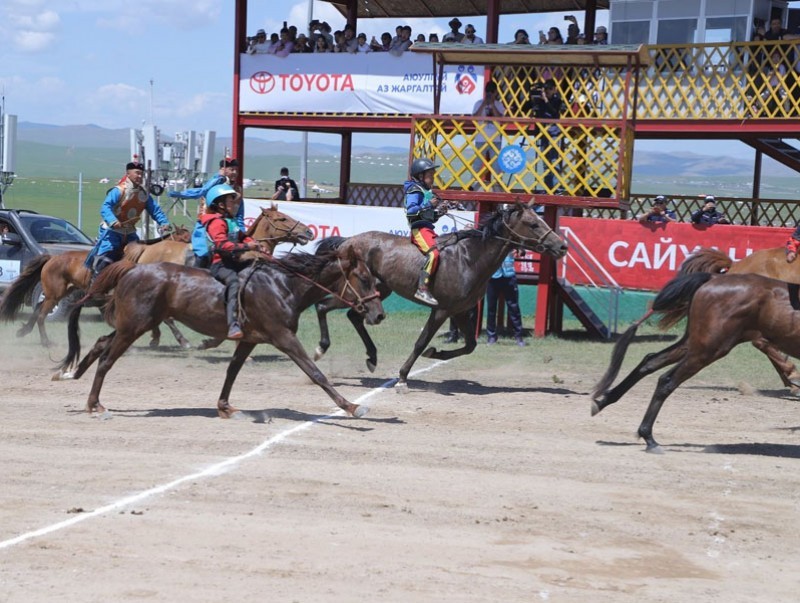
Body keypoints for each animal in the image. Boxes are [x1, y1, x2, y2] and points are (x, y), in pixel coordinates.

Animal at [53, 245, 384, 420]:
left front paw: (226, 407)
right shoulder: (284, 338)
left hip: (131, 325)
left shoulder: (249, 340)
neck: (283, 285)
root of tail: (132, 268)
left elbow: (232, 372)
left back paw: (74, 376)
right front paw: (352, 407)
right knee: (107, 360)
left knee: (100, 343)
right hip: (133, 327)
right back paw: (96, 404)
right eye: (364, 278)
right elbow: (316, 374)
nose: (379, 314)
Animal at [312, 203, 568, 390]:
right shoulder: (441, 310)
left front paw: (436, 353)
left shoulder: (461, 311)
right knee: (323, 307)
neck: (469, 258)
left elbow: (470, 345)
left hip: (375, 293)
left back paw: (371, 357)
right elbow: (421, 341)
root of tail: (347, 242)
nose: (562, 246)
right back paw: (322, 348)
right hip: (354, 291)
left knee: (350, 316)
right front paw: (403, 376)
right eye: (533, 224)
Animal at [588, 272, 800, 452]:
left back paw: (604, 400)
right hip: (708, 349)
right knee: (666, 380)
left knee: (650, 362)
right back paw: (648, 437)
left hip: (695, 343)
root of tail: (713, 278)